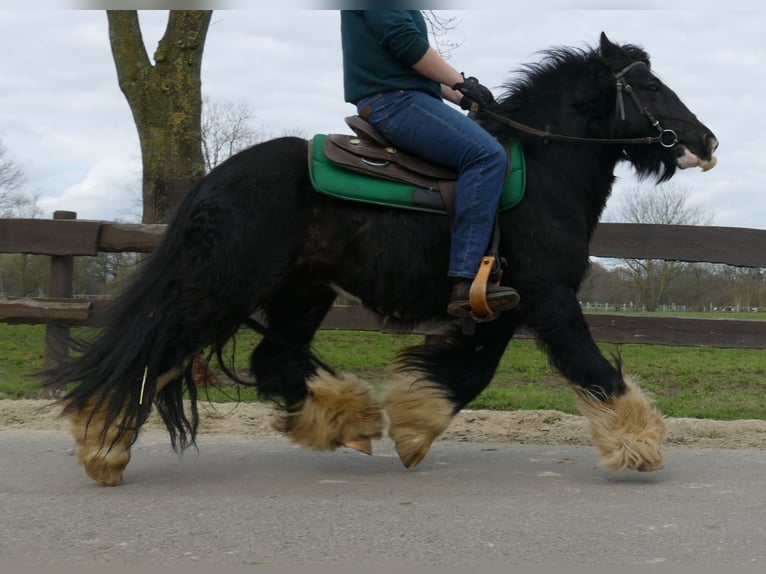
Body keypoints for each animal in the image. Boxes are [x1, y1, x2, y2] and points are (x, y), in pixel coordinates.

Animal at [48, 33, 720, 486]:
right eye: (650, 85)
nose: (706, 140)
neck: (543, 168)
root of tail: (216, 180)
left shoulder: (498, 307)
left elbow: (468, 372)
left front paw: (416, 424)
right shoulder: (550, 296)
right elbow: (591, 367)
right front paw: (640, 443)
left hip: (302, 291)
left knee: (270, 360)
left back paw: (349, 419)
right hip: (223, 288)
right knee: (152, 350)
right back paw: (103, 444)